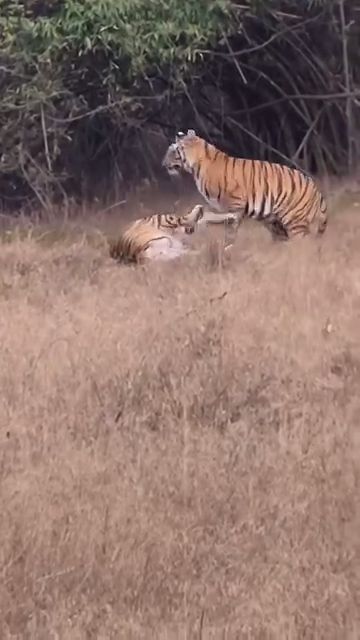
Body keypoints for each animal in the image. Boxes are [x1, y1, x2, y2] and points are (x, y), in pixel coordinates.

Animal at [162, 129, 328, 241]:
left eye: (172, 151)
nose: (163, 164)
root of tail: (316, 190)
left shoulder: (234, 205)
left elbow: (225, 226)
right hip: (277, 223)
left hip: (294, 221)